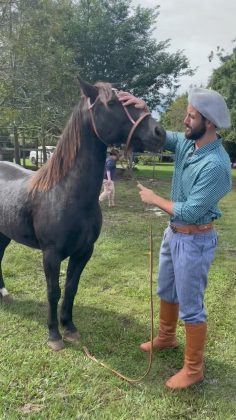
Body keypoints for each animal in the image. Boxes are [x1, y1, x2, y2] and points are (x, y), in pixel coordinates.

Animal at [0, 79, 164, 352]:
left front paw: (70, 328)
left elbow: (71, 288)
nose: (159, 133)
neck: (65, 192)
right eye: (112, 102)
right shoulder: (51, 254)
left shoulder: (84, 251)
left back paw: (4, 293)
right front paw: (54, 336)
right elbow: (53, 291)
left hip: (4, 235)